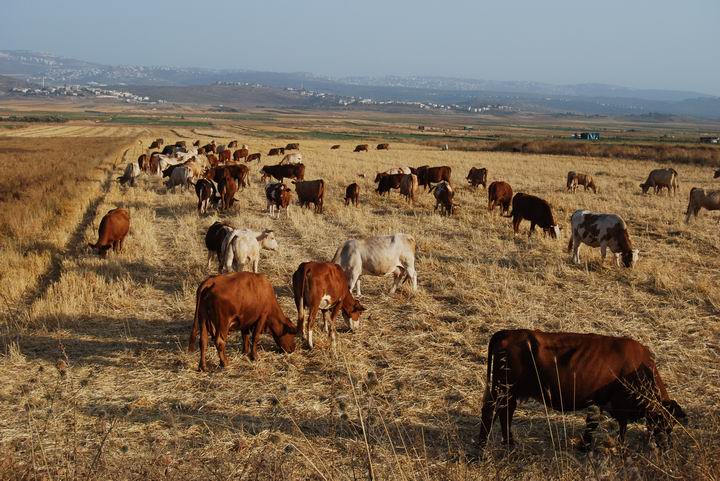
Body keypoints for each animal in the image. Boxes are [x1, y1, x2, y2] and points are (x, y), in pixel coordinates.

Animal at [478, 328, 688, 452]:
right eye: (666, 424)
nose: (666, 448)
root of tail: (506, 333)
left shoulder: (601, 402)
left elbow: (600, 424)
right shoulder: (612, 403)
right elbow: (610, 425)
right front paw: (591, 446)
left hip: (508, 393)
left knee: (505, 414)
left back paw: (509, 444)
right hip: (503, 389)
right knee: (490, 413)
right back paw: (483, 447)